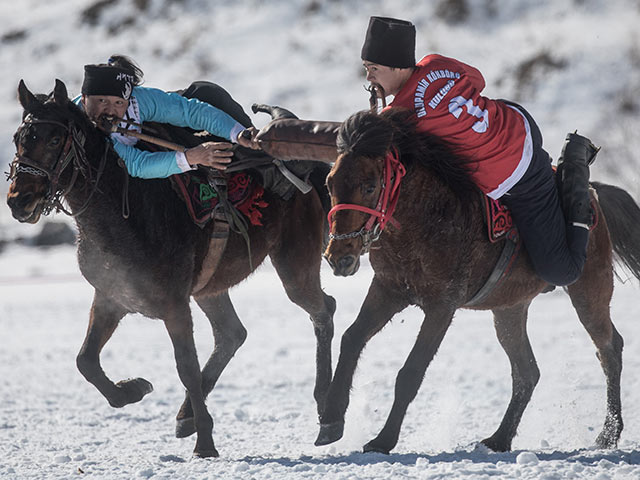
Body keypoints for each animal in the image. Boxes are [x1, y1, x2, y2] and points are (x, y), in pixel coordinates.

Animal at [7, 79, 338, 458]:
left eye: (53, 139)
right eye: (19, 137)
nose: (19, 200)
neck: (125, 213)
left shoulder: (174, 305)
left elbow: (186, 368)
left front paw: (206, 444)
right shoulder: (112, 296)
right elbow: (85, 361)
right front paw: (133, 388)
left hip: (294, 263)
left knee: (322, 311)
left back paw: (328, 414)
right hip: (210, 287)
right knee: (232, 334)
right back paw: (186, 415)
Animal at [316, 108, 640, 454]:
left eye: (370, 186)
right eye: (330, 182)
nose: (339, 257)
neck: (428, 216)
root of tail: (596, 195)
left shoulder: (442, 305)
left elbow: (411, 372)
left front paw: (383, 440)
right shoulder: (388, 289)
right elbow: (351, 338)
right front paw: (330, 418)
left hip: (588, 287)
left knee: (609, 349)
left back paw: (608, 434)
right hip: (509, 309)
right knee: (527, 372)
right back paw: (499, 438)